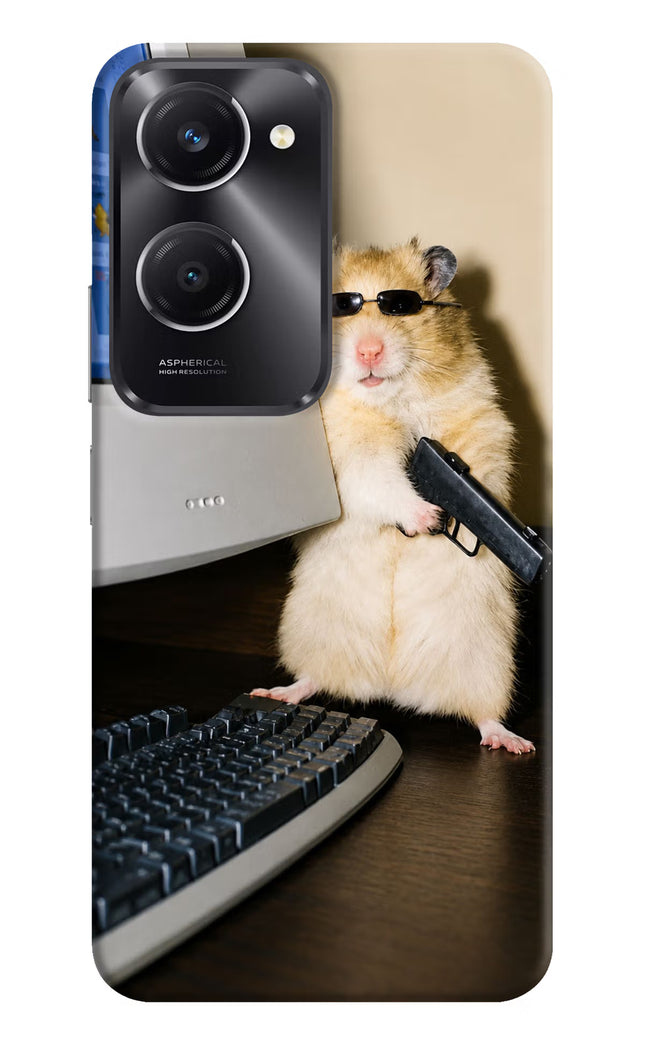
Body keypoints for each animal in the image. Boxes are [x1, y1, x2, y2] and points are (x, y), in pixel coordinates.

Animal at [252, 239, 534, 754]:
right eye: (338, 307)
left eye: (401, 307)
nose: (369, 351)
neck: (389, 401)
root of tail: (392, 686)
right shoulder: (349, 460)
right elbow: (380, 482)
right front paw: (428, 518)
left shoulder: (480, 423)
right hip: (311, 631)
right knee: (313, 678)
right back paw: (277, 692)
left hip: (487, 660)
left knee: (484, 714)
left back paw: (512, 742)